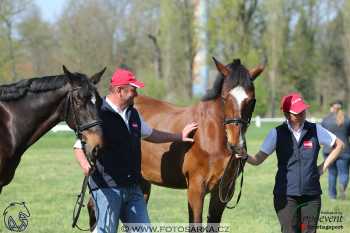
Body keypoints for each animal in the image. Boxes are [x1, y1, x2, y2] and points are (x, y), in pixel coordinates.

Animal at [135, 57, 264, 225]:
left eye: (251, 100)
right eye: (224, 98)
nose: (236, 145)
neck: (210, 136)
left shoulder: (222, 192)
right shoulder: (196, 189)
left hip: (142, 182)